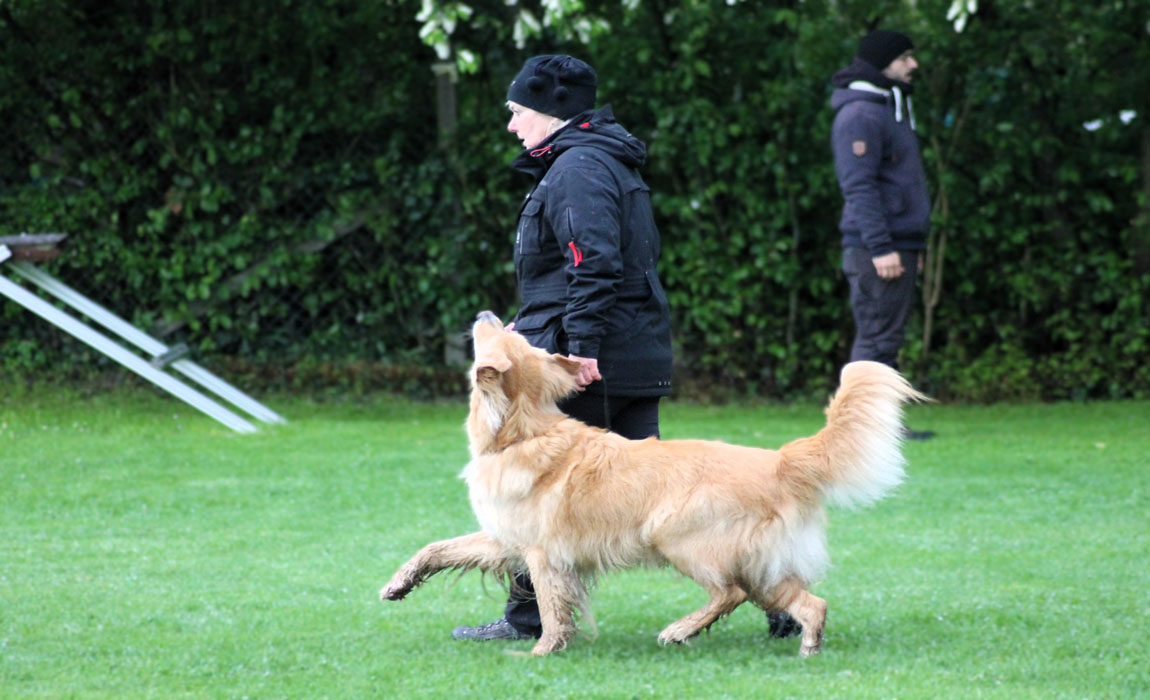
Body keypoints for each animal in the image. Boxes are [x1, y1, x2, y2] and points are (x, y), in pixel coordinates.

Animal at [381, 310, 929, 652]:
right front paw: (398, 584)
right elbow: (438, 548)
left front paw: (542, 652)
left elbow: (552, 608)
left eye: (497, 342)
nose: (487, 314)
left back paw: (680, 631)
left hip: (679, 537)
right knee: (808, 601)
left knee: (730, 593)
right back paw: (806, 645)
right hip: (763, 564)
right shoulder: (505, 538)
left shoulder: (542, 553)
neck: (522, 431)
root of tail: (780, 460)